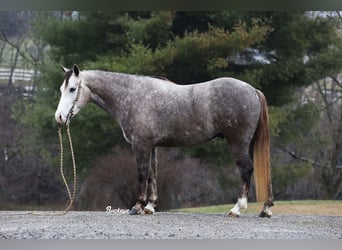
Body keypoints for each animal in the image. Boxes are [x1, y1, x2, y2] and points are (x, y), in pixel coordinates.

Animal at [56, 64, 276, 217]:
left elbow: (142, 174)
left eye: (73, 89)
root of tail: (253, 90)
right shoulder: (152, 146)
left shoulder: (141, 145)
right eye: (61, 89)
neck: (132, 95)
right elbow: (153, 174)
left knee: (246, 169)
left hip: (238, 143)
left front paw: (137, 206)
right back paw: (265, 209)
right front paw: (150, 207)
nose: (59, 117)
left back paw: (237, 209)